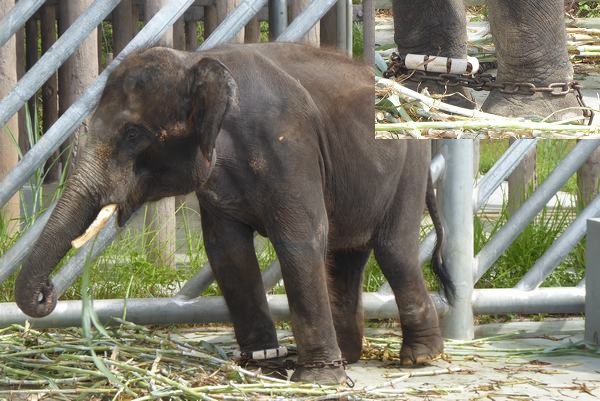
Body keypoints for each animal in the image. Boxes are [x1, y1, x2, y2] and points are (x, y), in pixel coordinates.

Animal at [11, 42, 452, 382]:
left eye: (133, 133)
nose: (46, 292)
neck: (196, 59)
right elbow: (227, 252)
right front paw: (263, 365)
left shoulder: (289, 148)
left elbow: (300, 241)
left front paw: (316, 380)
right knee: (345, 257)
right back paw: (349, 356)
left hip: (409, 169)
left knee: (393, 251)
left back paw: (419, 358)